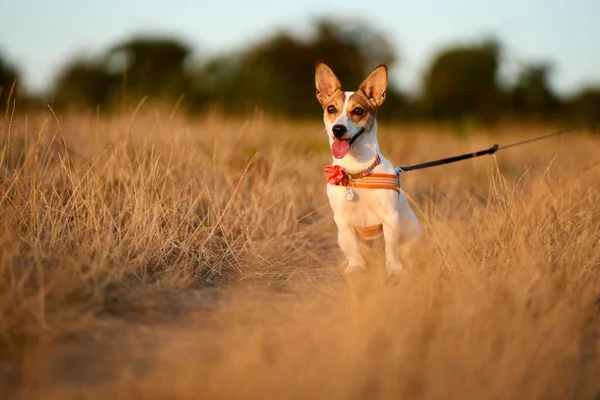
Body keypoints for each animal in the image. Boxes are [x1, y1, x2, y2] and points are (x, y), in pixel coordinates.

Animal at [314, 61, 422, 276]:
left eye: (358, 111)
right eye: (331, 108)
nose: (338, 129)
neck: (357, 173)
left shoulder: (390, 218)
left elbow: (391, 248)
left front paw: (394, 269)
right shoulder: (342, 221)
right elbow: (353, 249)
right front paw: (356, 267)